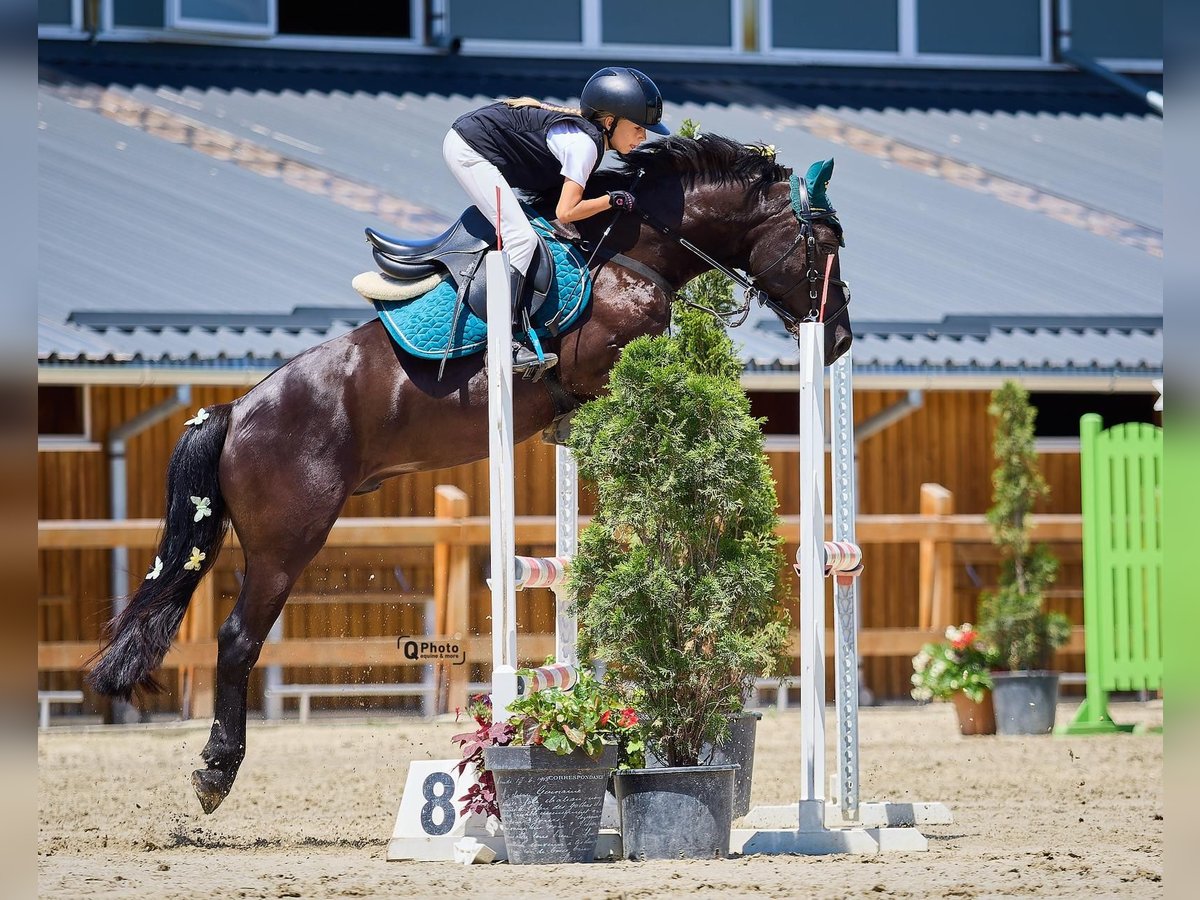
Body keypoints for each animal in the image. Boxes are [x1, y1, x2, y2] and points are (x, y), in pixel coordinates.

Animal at [87, 135, 854, 816]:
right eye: (825, 242)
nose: (840, 338)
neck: (630, 252)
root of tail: (238, 409)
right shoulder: (602, 361)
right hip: (287, 540)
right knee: (238, 639)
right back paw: (216, 772)